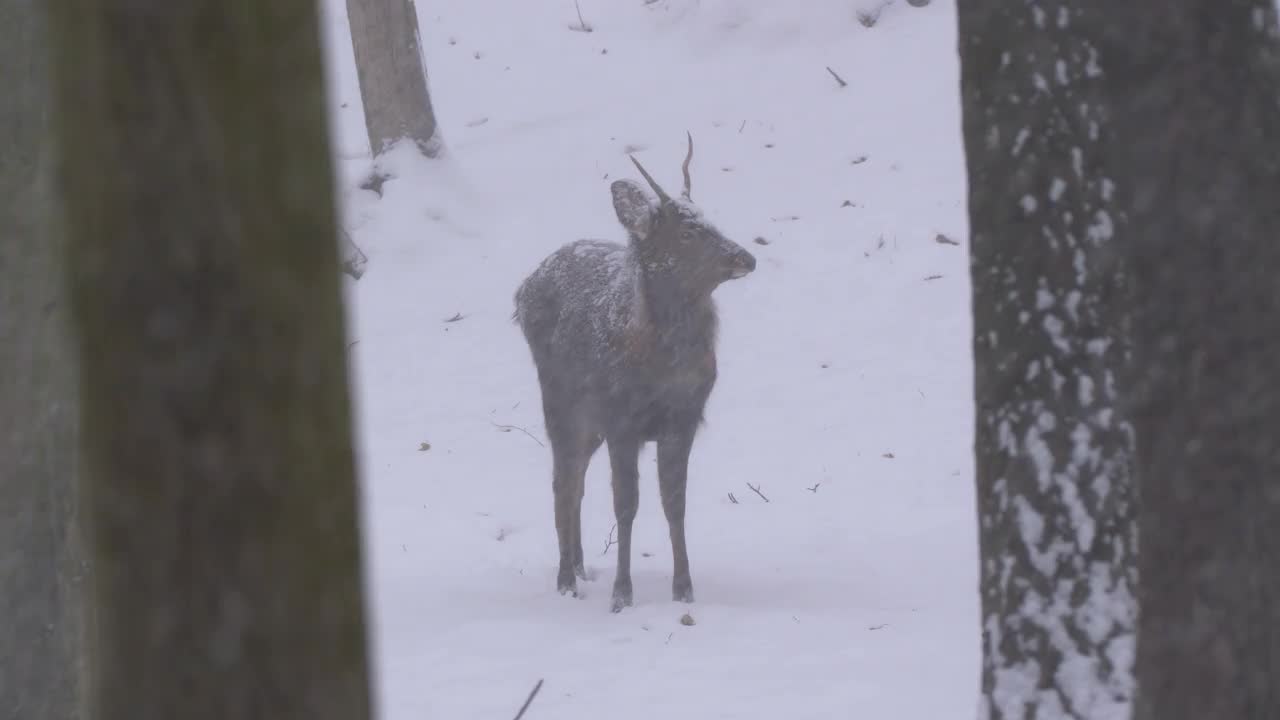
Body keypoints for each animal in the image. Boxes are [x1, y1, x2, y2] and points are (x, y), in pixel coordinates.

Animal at [512, 131, 752, 607]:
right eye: (687, 231)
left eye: (710, 218)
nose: (746, 257)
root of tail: (522, 289)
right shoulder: (622, 420)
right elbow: (626, 506)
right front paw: (622, 593)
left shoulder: (682, 420)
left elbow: (674, 502)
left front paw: (684, 588)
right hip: (561, 403)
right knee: (563, 479)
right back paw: (566, 578)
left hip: (589, 423)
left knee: (577, 481)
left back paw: (580, 565)